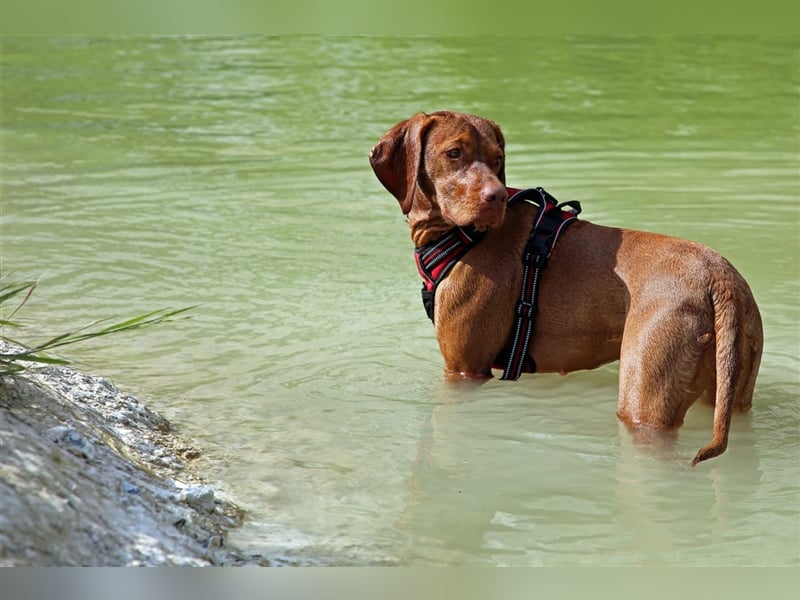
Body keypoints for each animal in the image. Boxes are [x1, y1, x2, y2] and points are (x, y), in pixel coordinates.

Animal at [372, 110, 764, 466]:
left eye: (497, 159)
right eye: (454, 153)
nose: (495, 196)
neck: (463, 237)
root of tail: (720, 279)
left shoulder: (465, 369)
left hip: (645, 400)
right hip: (731, 393)